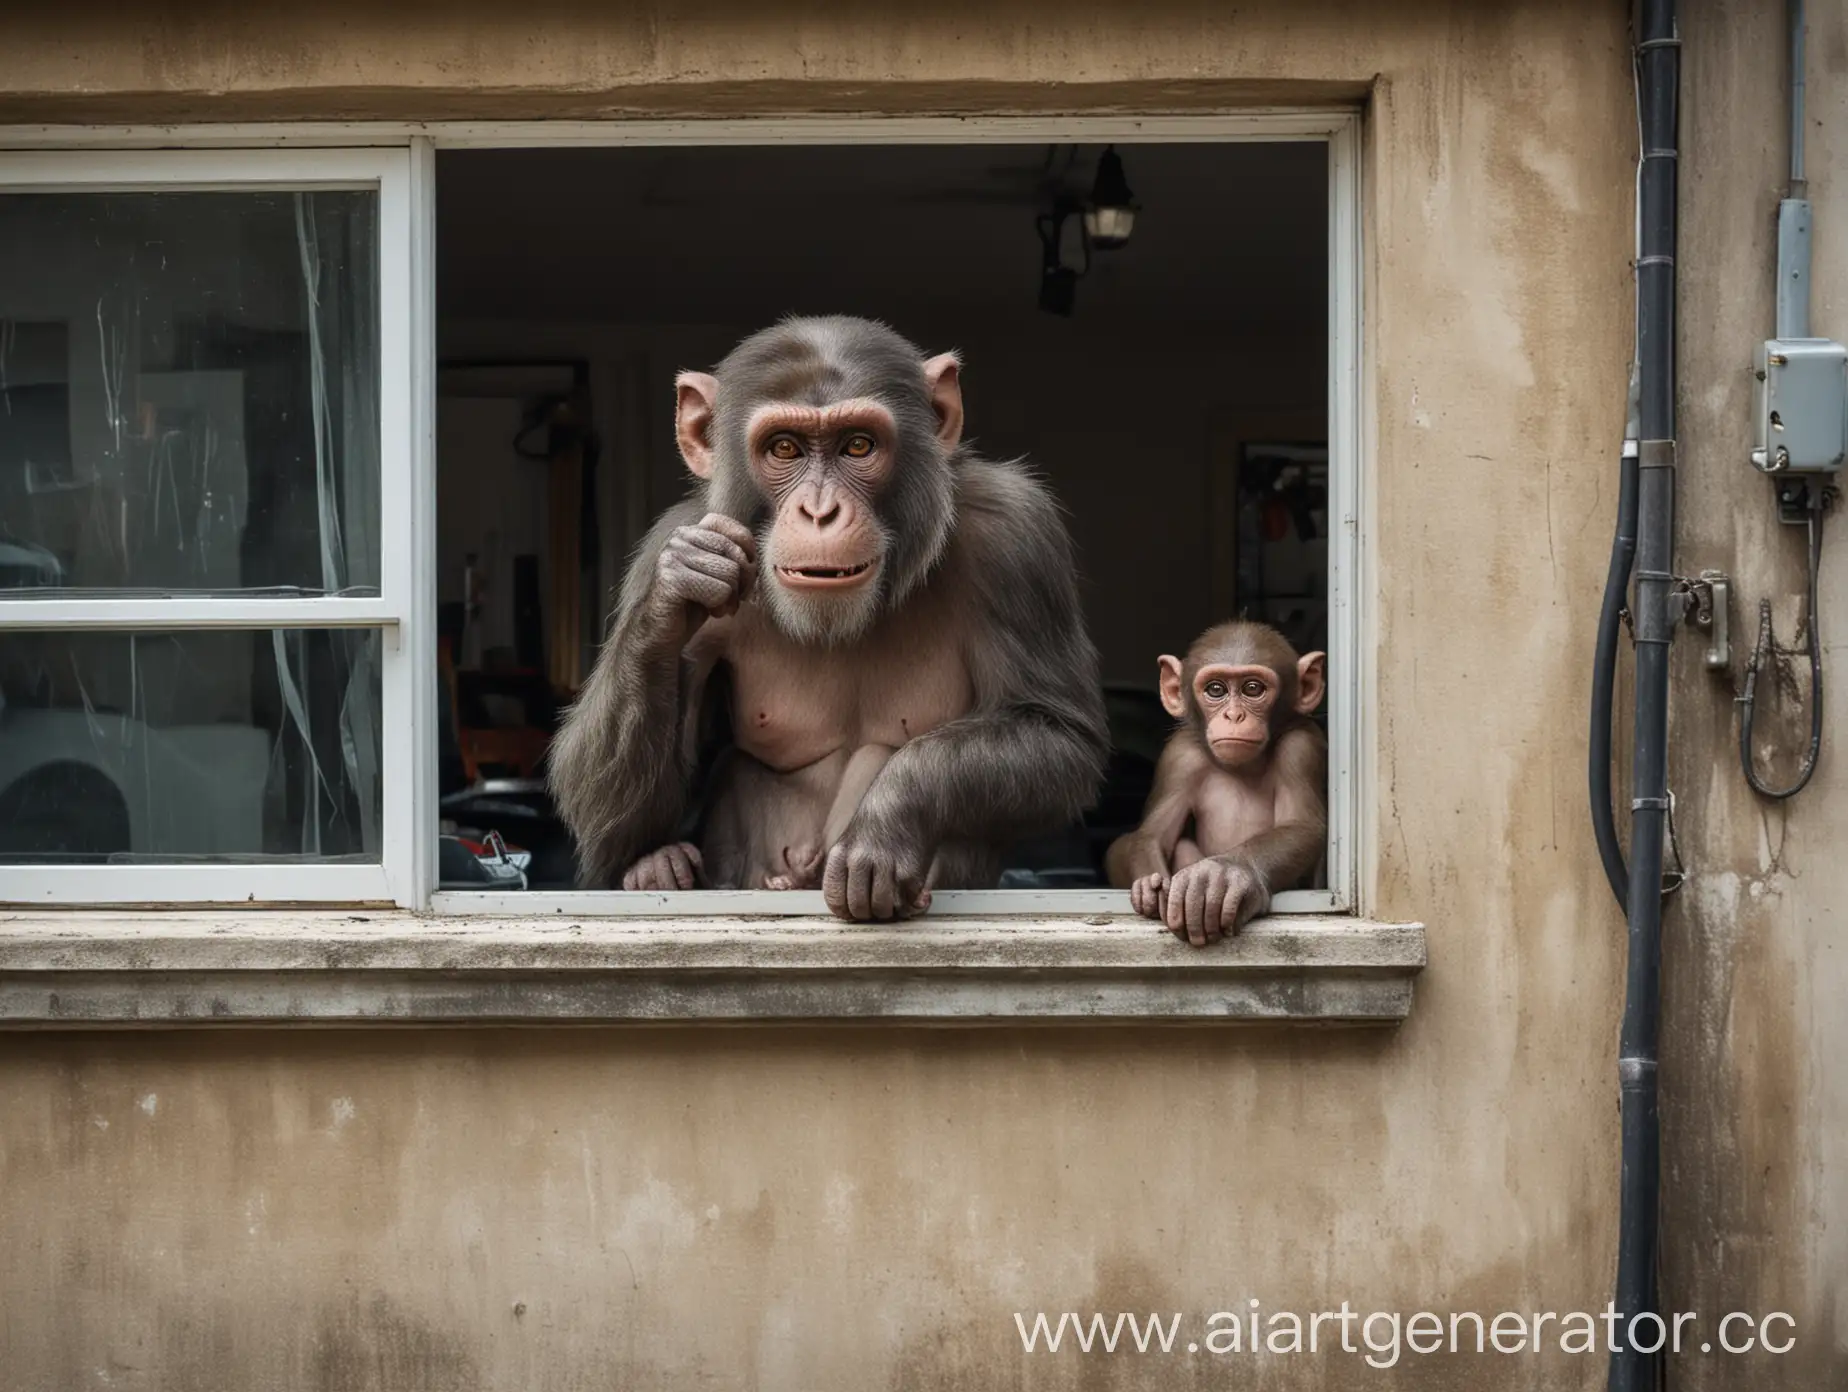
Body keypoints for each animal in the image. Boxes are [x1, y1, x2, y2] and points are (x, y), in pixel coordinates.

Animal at [539, 319, 1101, 916]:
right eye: (784, 447)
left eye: (858, 444)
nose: (819, 511)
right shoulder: (662, 543)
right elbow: (601, 813)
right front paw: (681, 584)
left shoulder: (1016, 535)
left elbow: (1054, 728)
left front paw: (884, 828)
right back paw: (659, 869)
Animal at [1101, 617, 1323, 946]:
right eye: (1216, 689)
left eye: (1253, 688)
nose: (1234, 715)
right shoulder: (1179, 757)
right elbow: (1152, 833)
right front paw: (1147, 886)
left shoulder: (1301, 747)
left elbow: (1301, 826)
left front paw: (1226, 874)